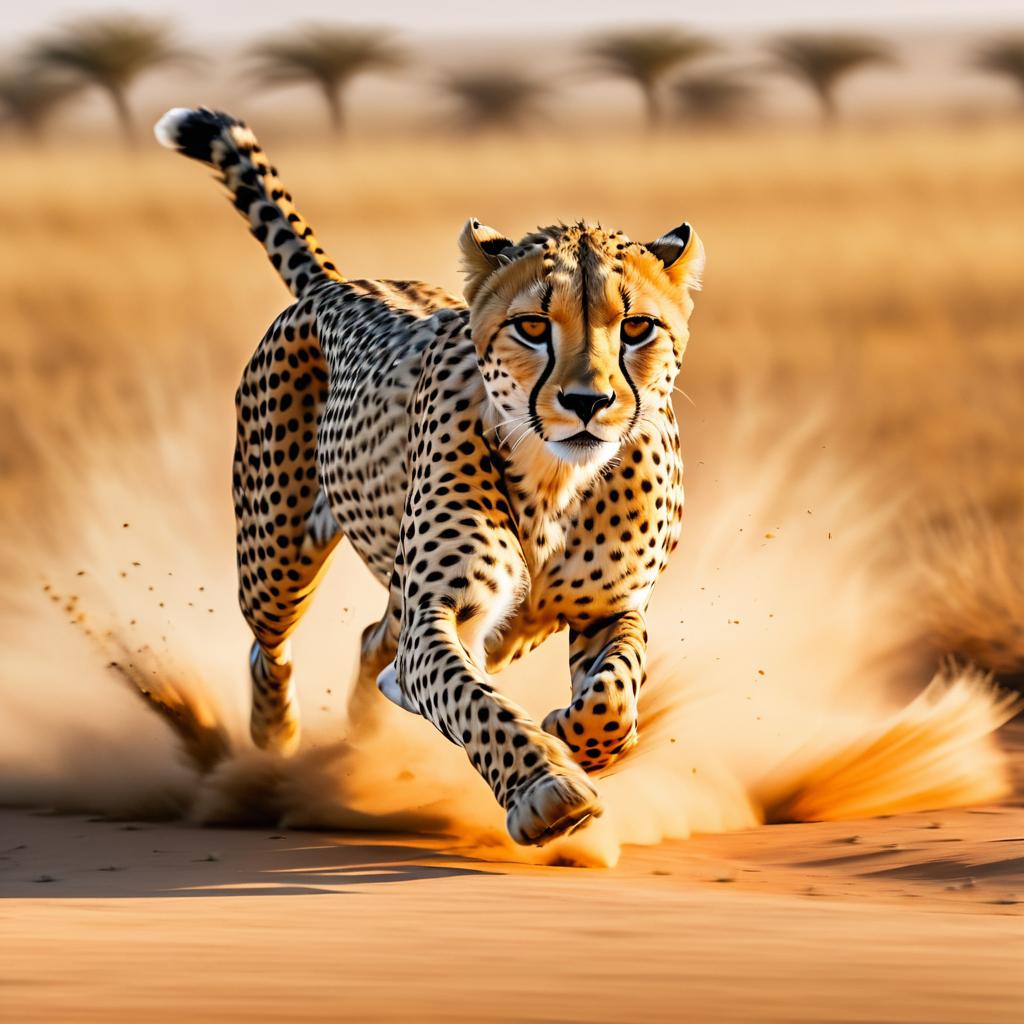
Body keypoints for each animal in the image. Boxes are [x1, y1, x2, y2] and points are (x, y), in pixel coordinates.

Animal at [155, 105, 704, 847]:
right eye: (534, 327)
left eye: (638, 327)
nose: (586, 402)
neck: (557, 482)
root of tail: (336, 284)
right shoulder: (441, 618)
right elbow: (472, 700)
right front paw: (546, 788)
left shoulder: (608, 606)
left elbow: (615, 694)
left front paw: (579, 741)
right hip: (277, 559)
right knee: (273, 647)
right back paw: (275, 741)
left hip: (484, 622)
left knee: (372, 645)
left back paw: (364, 734)